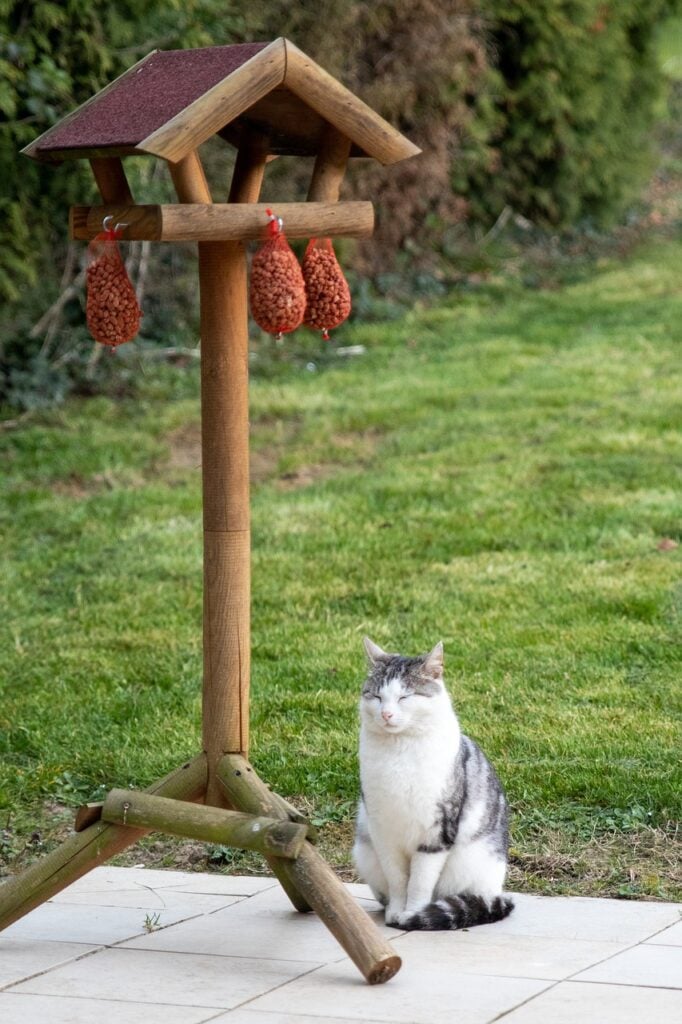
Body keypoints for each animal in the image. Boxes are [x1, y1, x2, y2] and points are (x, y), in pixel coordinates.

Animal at [352, 634, 512, 933]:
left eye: (405, 696)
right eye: (376, 696)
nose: (386, 714)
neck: (399, 750)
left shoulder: (436, 834)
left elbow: (419, 883)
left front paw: (413, 915)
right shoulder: (383, 833)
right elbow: (398, 879)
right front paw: (396, 912)